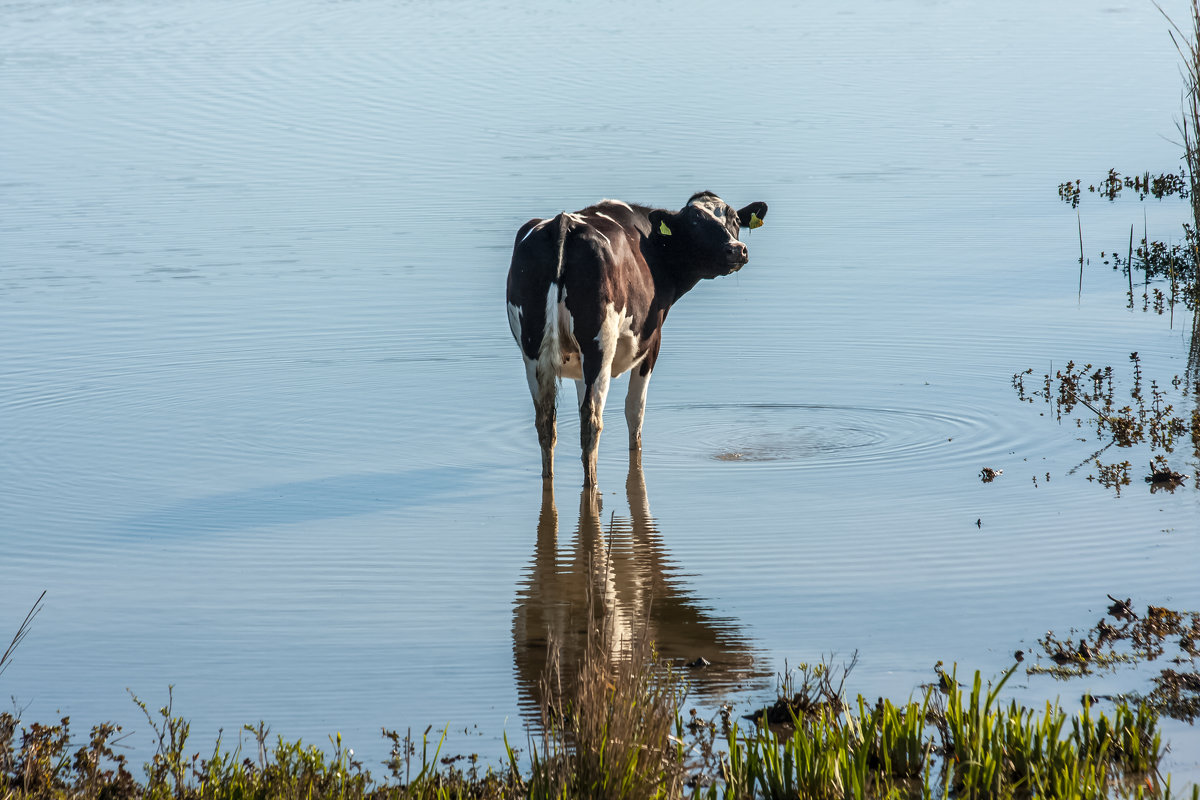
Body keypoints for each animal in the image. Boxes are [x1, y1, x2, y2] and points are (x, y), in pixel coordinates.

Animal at [504, 191, 768, 489]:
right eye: (696, 222)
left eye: (734, 219)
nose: (737, 249)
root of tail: (563, 223)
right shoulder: (651, 343)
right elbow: (635, 411)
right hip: (599, 345)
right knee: (591, 419)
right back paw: (591, 483)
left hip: (533, 349)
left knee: (546, 419)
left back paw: (549, 477)